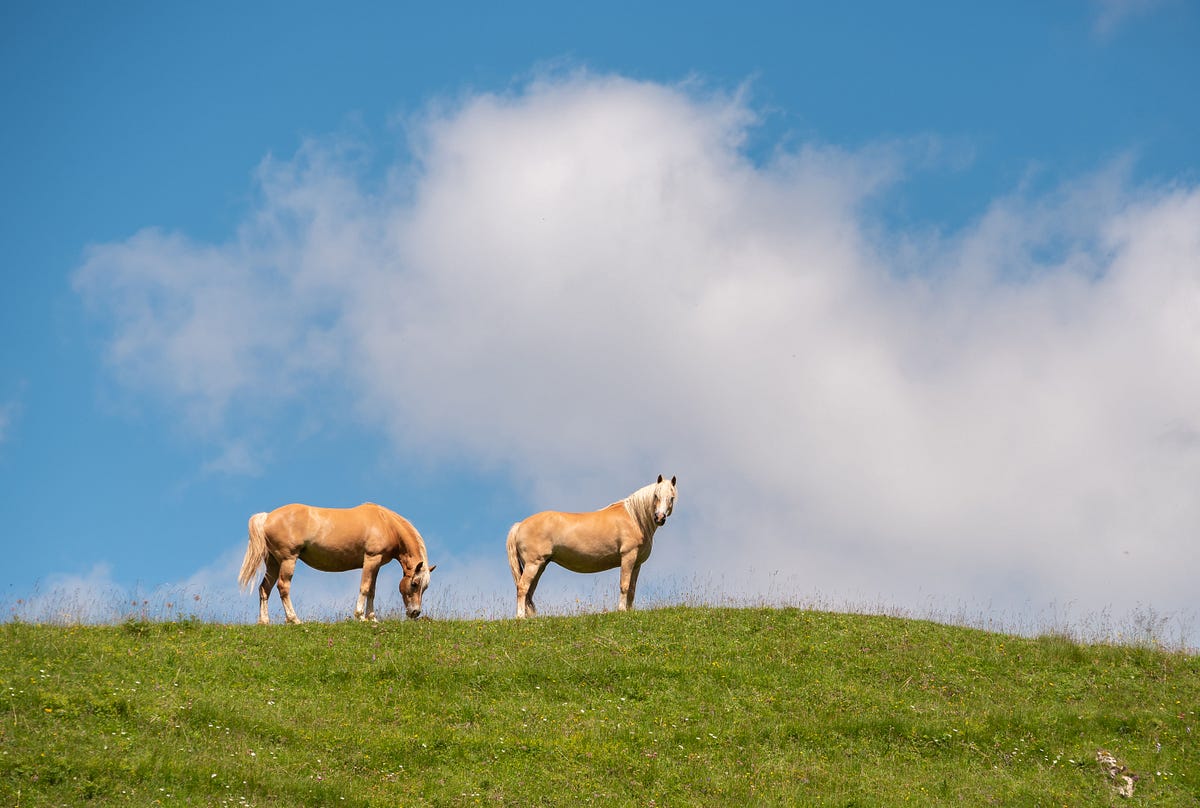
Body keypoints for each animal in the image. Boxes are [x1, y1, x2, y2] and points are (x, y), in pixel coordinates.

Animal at [237, 502, 436, 624]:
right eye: (415, 583)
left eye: (425, 587)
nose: (415, 612)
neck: (385, 523)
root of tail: (267, 517)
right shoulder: (371, 559)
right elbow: (365, 588)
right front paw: (360, 617)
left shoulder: (377, 564)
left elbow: (372, 590)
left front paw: (372, 618)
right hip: (288, 560)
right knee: (283, 587)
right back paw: (294, 620)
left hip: (273, 562)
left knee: (265, 588)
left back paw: (264, 621)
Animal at [506, 474, 677, 618]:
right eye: (656, 496)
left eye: (672, 498)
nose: (659, 517)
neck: (634, 518)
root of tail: (519, 525)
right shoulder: (628, 556)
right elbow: (624, 585)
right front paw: (622, 610)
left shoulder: (637, 563)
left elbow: (632, 589)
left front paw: (629, 610)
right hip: (533, 564)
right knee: (522, 587)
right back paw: (520, 617)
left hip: (540, 565)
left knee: (529, 591)